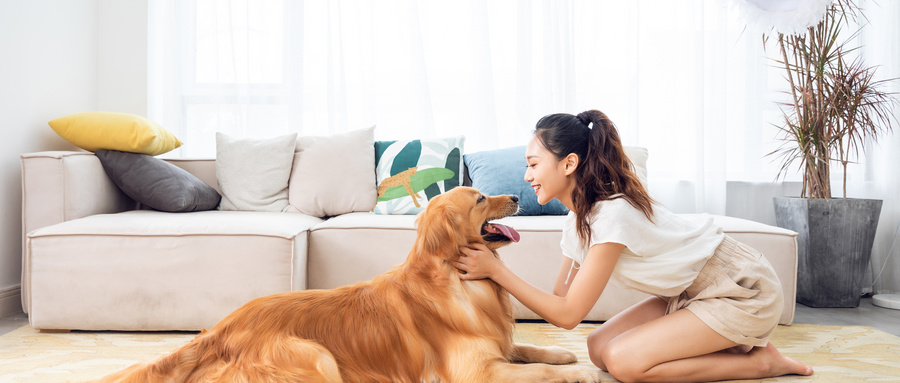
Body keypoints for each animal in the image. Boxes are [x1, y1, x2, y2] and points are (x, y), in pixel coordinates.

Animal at [91, 188, 600, 382]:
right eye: (479, 199)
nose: (515, 195)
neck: (459, 280)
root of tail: (219, 330)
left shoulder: (494, 346)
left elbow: (527, 349)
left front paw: (560, 353)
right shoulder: (474, 372)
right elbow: (540, 373)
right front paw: (576, 374)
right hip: (317, 356)